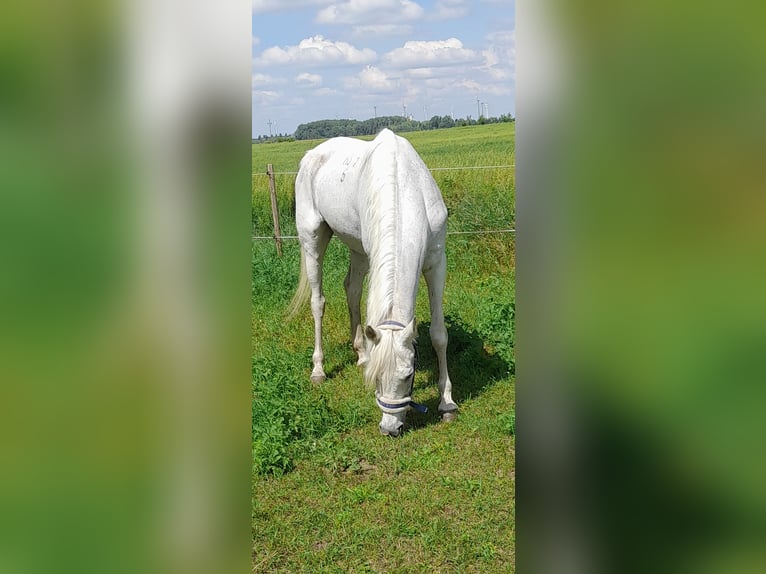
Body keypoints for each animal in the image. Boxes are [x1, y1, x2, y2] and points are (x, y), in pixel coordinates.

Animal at [286, 129, 456, 436]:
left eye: (409, 375)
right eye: (375, 378)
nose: (389, 428)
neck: (403, 190)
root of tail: (310, 157)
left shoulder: (437, 263)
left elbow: (439, 334)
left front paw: (447, 404)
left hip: (358, 249)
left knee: (351, 289)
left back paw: (361, 352)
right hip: (312, 239)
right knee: (318, 302)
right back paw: (318, 370)